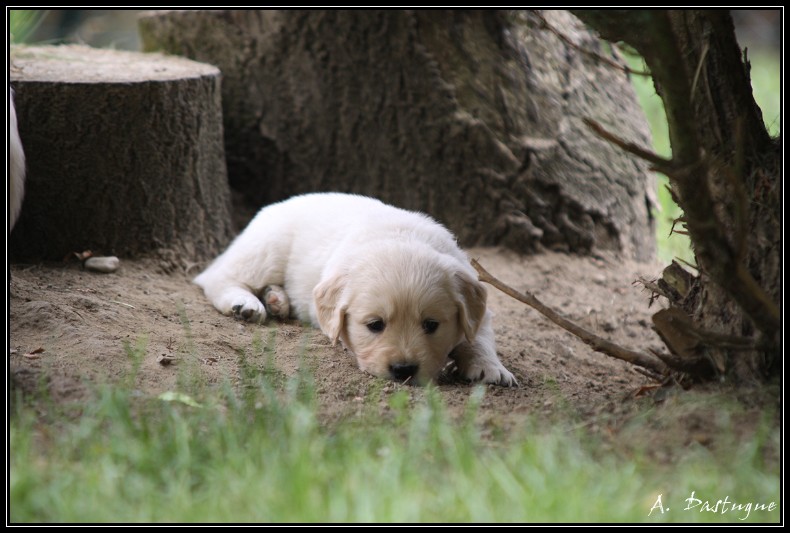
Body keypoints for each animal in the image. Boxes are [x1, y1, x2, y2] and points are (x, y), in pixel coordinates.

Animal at [196, 193, 520, 384]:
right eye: (375, 325)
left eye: (431, 325)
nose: (403, 371)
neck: (400, 237)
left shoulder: (475, 304)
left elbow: (479, 337)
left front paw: (490, 368)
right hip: (267, 249)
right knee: (217, 276)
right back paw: (246, 303)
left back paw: (276, 299)